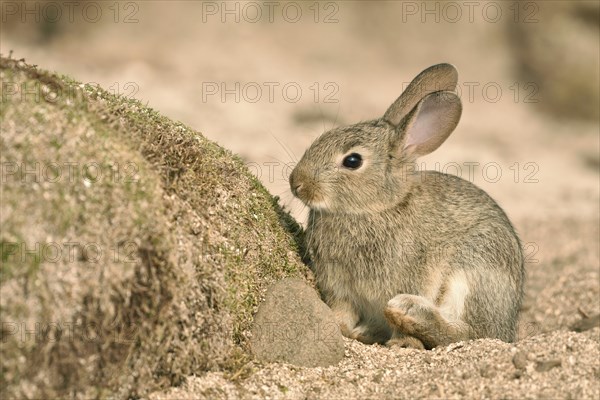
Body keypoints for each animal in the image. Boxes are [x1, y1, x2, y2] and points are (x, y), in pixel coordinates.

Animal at [288, 63, 524, 350]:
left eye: (352, 161)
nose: (296, 183)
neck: (375, 208)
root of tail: (509, 328)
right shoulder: (340, 288)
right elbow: (342, 312)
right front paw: (342, 328)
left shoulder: (413, 276)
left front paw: (402, 343)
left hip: (475, 266)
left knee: (470, 332)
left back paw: (410, 311)